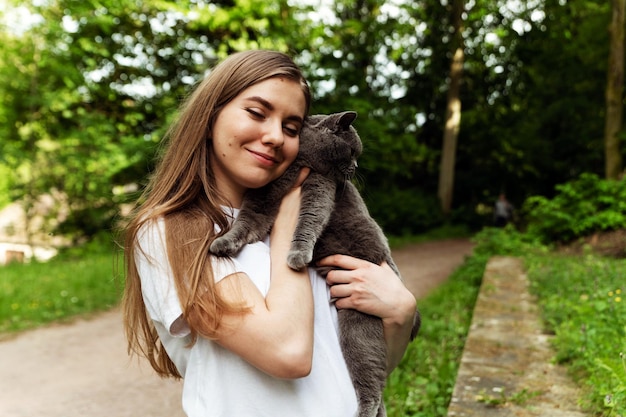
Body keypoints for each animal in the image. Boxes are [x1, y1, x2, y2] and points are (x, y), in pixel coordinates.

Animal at [210, 111, 420, 416]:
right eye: (352, 151)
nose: (356, 166)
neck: (298, 164)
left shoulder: (319, 188)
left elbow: (307, 222)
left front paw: (297, 255)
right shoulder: (262, 197)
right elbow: (246, 222)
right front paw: (223, 243)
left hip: (357, 325)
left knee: (373, 378)